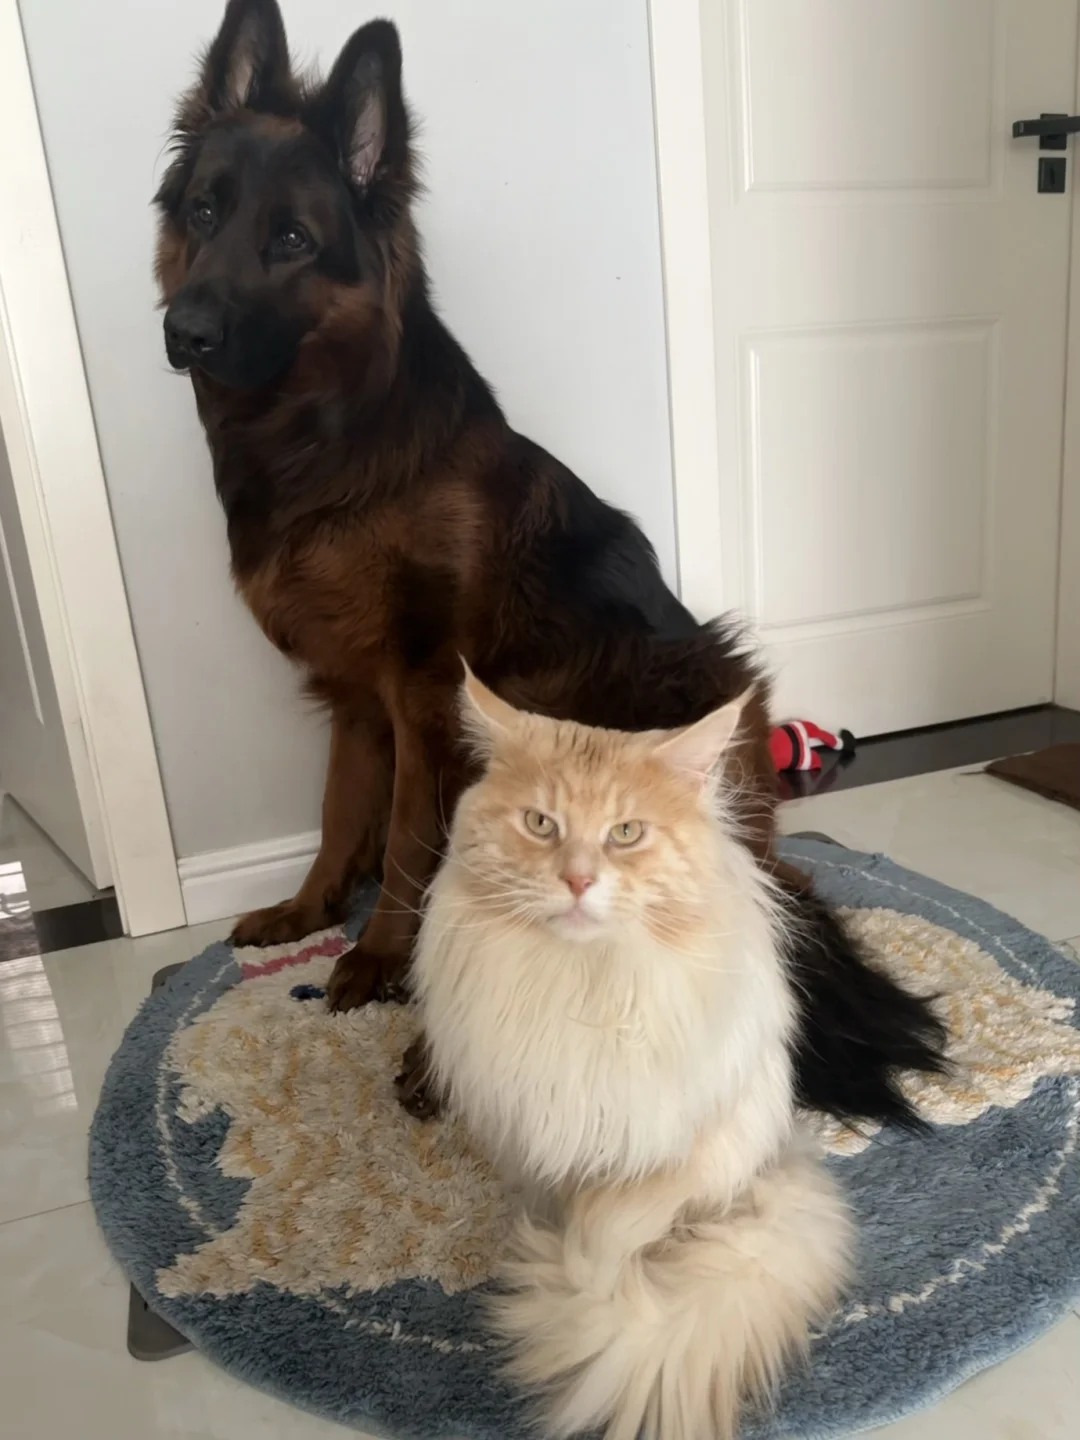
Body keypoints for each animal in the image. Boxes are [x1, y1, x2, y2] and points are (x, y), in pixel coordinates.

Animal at [156, 0, 945, 1125]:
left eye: (292, 241)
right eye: (204, 210)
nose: (183, 331)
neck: (330, 439)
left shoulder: (423, 690)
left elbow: (404, 837)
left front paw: (378, 957)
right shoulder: (353, 695)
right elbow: (338, 809)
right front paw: (308, 908)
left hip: (683, 678)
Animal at [410, 670, 855, 1440]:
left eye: (626, 834)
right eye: (541, 825)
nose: (578, 881)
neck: (588, 983)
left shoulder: (670, 1149)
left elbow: (615, 1226)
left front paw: (587, 1286)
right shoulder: (545, 1141)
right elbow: (578, 1215)